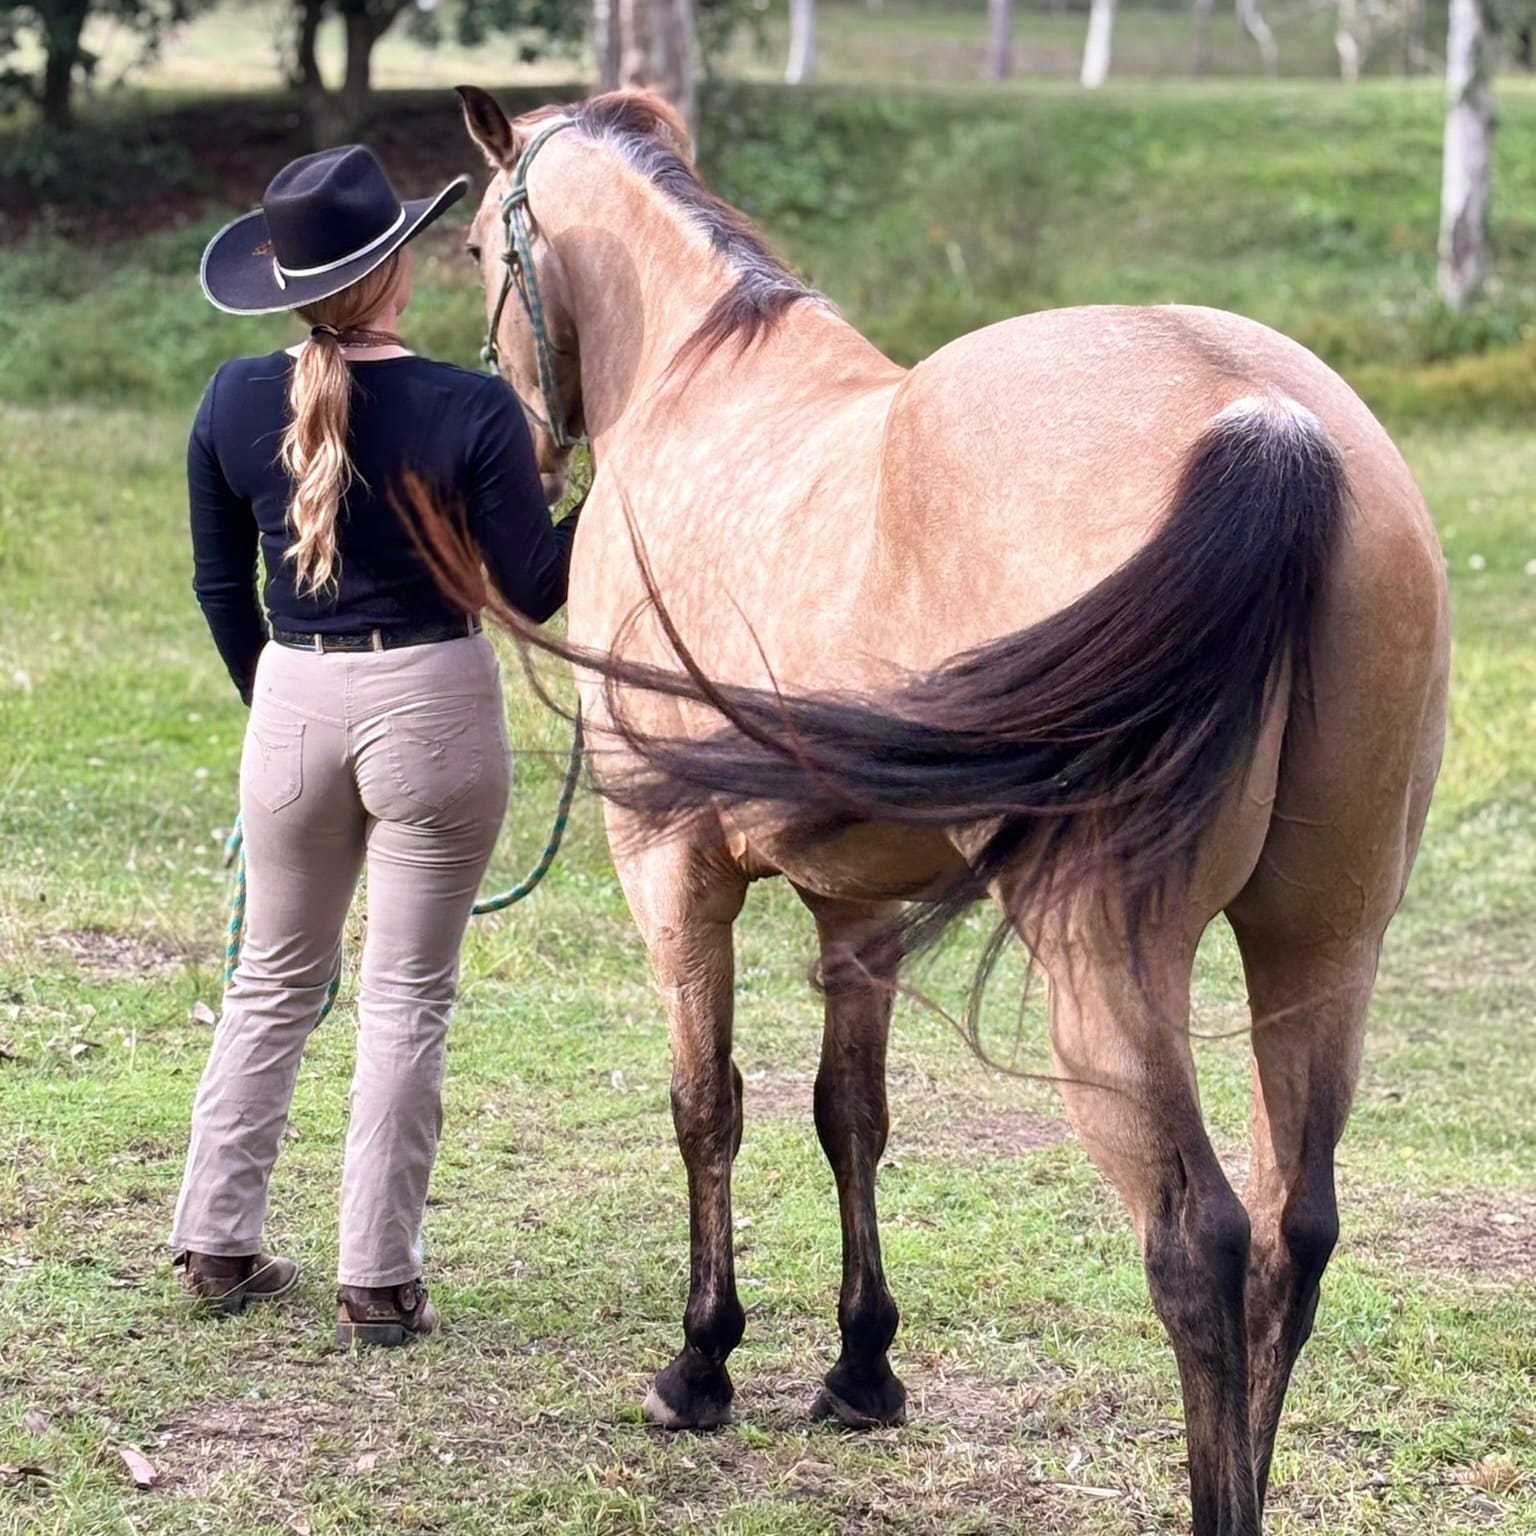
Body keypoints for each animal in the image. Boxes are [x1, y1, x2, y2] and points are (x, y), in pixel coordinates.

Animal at [448, 85, 1449, 1536]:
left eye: (478, 248)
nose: (528, 451)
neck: (702, 390)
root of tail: (1265, 424)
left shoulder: (672, 873)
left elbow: (709, 1106)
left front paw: (702, 1362)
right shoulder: (856, 905)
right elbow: (848, 1116)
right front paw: (863, 1367)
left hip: (1109, 963)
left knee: (1195, 1241)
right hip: (1323, 944)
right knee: (1291, 1234)